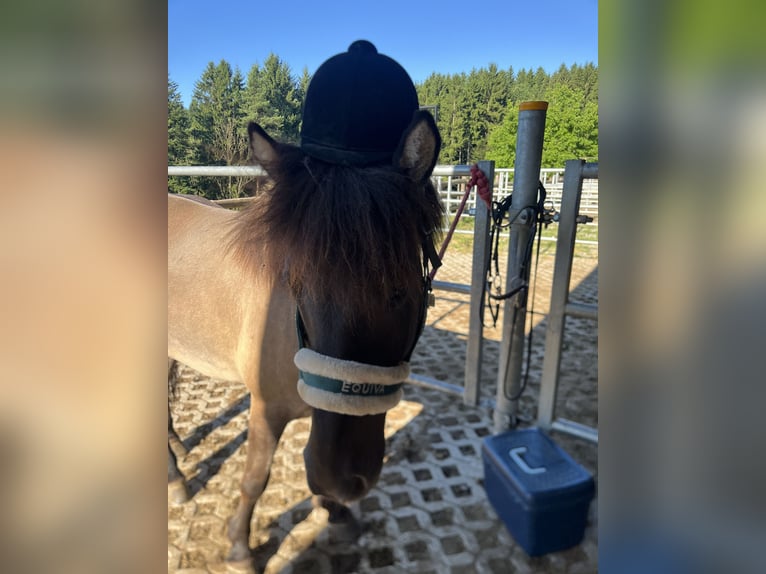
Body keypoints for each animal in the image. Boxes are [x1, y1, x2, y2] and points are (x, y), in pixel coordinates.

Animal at [168, 111, 443, 568]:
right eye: (296, 285)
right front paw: (240, 548)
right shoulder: (267, 408)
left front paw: (334, 512)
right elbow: (256, 477)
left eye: (401, 289)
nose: (345, 481)